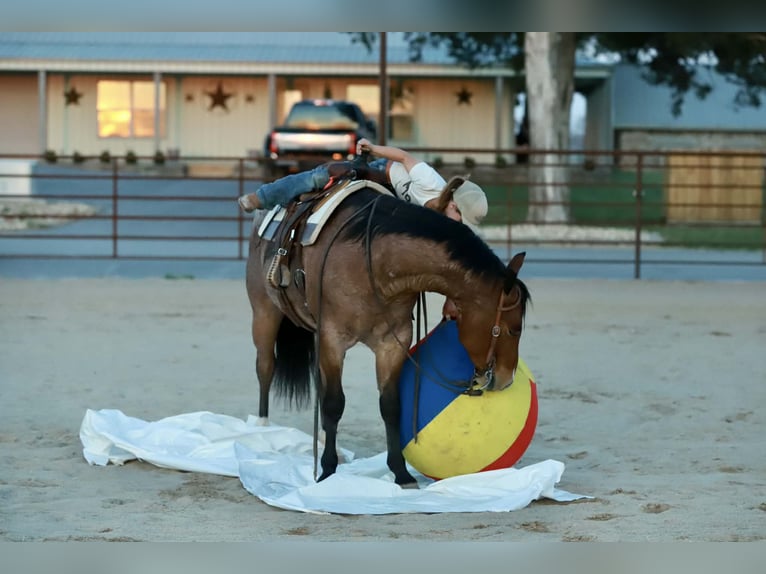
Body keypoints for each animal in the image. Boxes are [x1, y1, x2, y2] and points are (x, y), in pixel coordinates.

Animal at [245, 182, 530, 487]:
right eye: (513, 329)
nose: (507, 378)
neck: (372, 260)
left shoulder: (392, 343)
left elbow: (391, 405)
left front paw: (401, 473)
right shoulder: (333, 340)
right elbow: (334, 404)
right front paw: (327, 470)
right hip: (264, 313)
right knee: (266, 366)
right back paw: (262, 429)